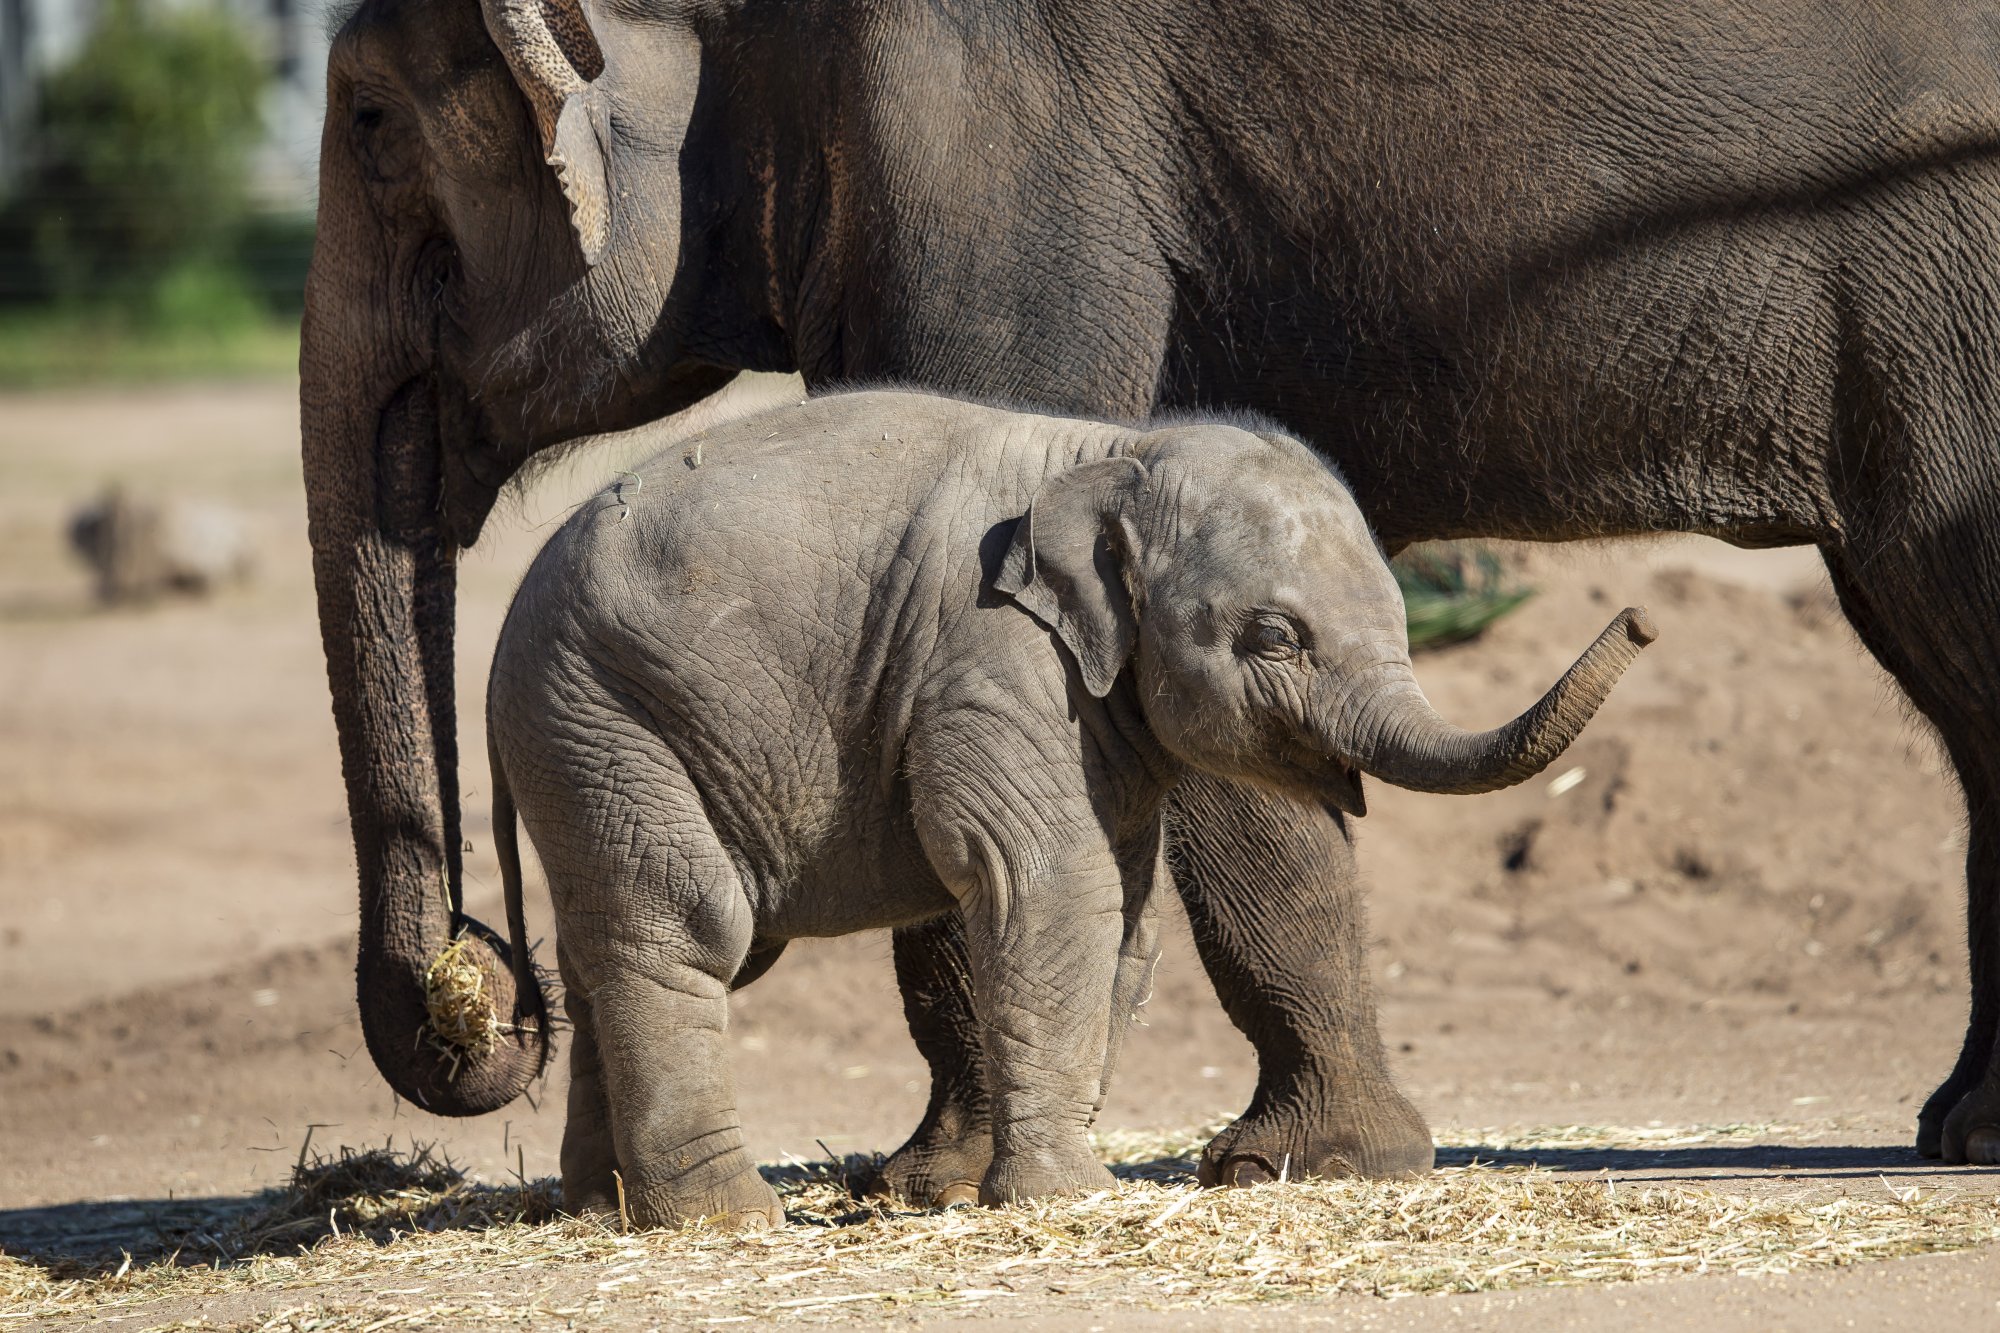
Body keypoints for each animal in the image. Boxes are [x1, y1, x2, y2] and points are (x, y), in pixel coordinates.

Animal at [488, 386, 1656, 1224]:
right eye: (1275, 637)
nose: (1642, 619)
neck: (1117, 452)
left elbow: (1128, 905)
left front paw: (1021, 1184)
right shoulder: (995, 656)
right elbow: (1047, 879)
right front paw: (1067, 1197)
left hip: (589, 738)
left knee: (604, 941)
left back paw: (602, 1208)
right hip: (604, 711)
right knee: (689, 924)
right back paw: (724, 1219)